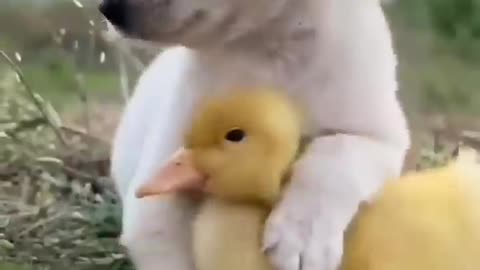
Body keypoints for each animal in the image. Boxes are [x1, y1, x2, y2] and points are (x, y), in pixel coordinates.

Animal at [99, 0, 410, 268]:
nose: (108, 10)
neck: (266, 49)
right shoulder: (157, 199)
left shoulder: (384, 137)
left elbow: (335, 154)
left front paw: (302, 235)